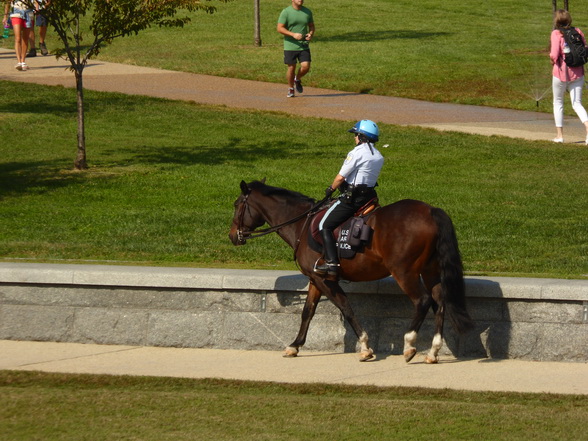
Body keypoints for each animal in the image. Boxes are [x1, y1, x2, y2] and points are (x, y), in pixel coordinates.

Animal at [230, 180, 474, 364]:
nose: (233, 235)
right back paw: (433, 351)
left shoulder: (325, 279)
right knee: (439, 302)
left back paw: (409, 344)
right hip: (430, 271)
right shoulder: (315, 279)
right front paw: (295, 345)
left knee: (422, 301)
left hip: (404, 272)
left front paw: (365, 346)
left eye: (236, 204)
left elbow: (346, 307)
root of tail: (430, 211)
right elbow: (307, 312)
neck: (301, 224)